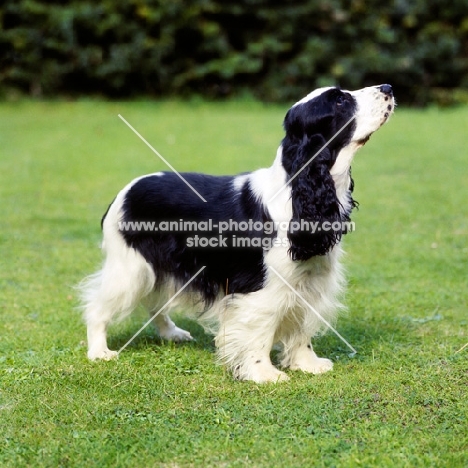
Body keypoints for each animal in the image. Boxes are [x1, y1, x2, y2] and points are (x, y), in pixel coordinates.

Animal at [81, 86, 394, 382]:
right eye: (340, 101)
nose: (388, 88)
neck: (297, 191)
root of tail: (125, 190)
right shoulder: (260, 288)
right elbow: (260, 332)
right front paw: (263, 373)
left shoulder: (309, 281)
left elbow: (302, 328)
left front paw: (307, 364)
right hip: (130, 268)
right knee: (99, 307)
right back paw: (99, 352)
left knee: (155, 302)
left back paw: (172, 333)